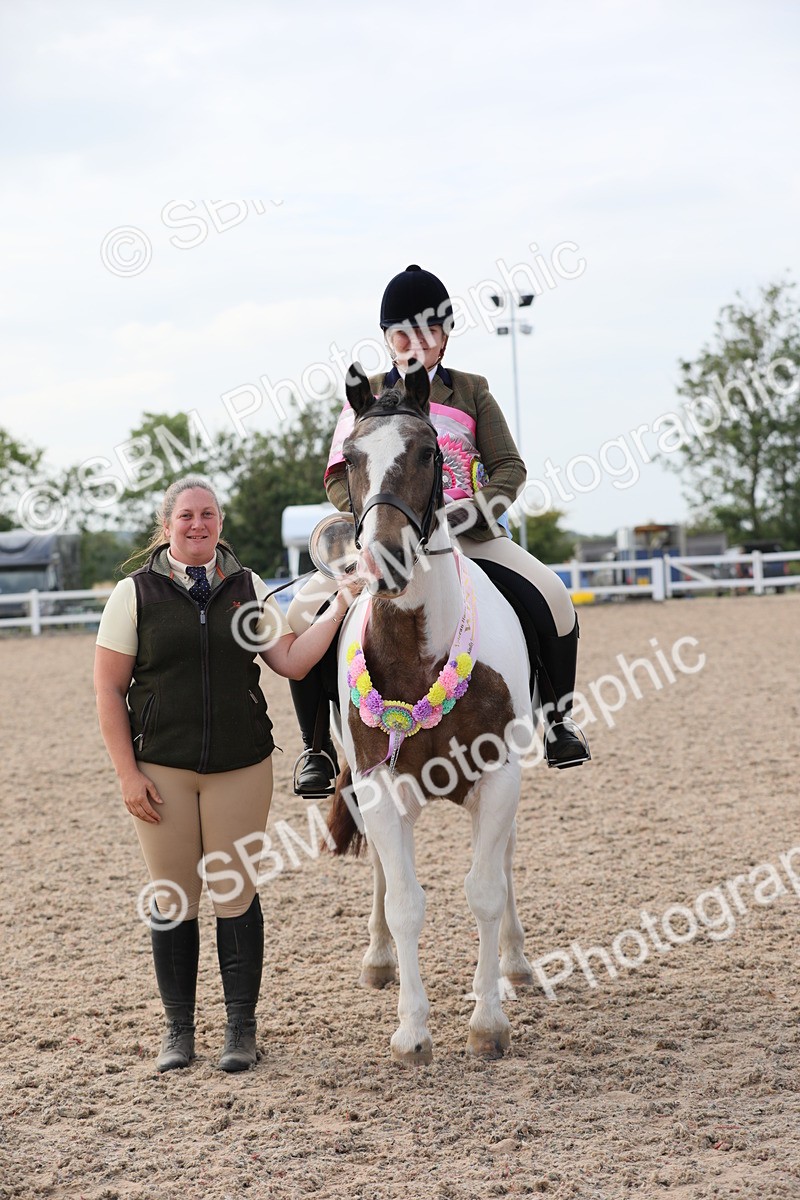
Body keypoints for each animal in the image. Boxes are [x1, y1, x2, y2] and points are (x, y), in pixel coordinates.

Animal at [326, 360, 535, 1065]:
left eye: (425, 452)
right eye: (351, 457)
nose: (384, 559)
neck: (419, 651)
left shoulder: (498, 777)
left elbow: (485, 890)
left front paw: (488, 1022)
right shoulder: (378, 784)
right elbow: (406, 903)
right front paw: (413, 1030)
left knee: (502, 861)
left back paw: (516, 964)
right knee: (385, 877)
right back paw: (378, 961)